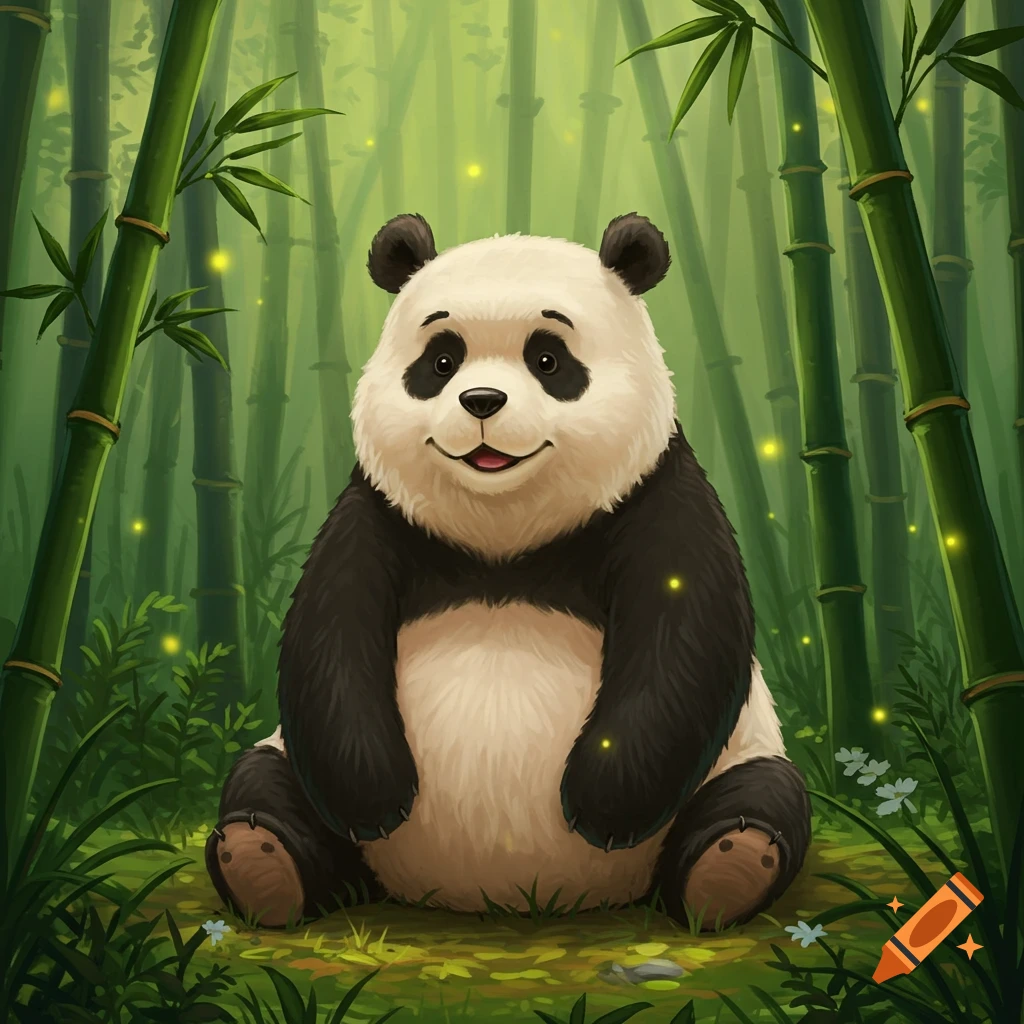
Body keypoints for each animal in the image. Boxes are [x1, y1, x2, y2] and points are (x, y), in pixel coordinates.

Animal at [205, 212, 810, 931]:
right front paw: (374, 797)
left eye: (548, 359)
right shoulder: (378, 510)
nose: (482, 400)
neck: (503, 534)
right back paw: (262, 860)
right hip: (286, 762)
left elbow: (687, 632)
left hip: (742, 754)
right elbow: (330, 631)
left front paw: (603, 804)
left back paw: (730, 867)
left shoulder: (658, 492)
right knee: (262, 781)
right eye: (441, 361)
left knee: (766, 794)